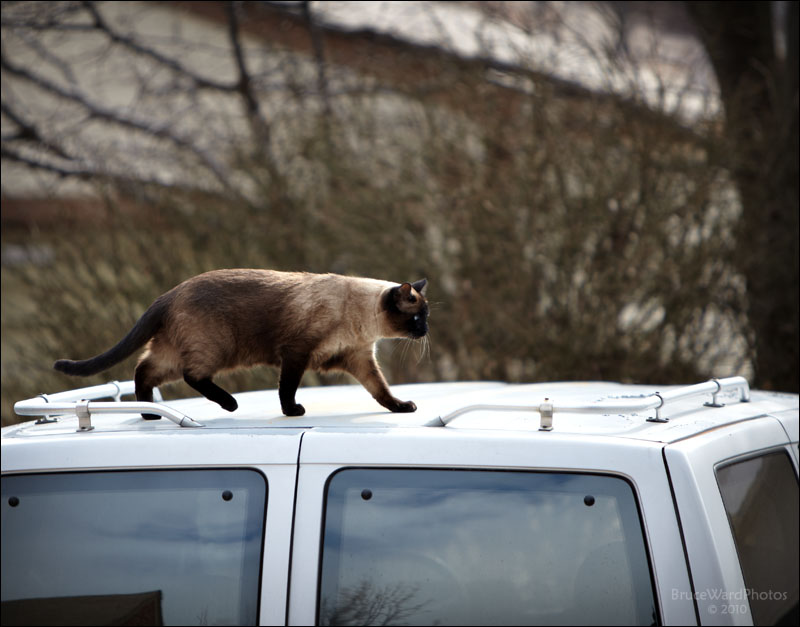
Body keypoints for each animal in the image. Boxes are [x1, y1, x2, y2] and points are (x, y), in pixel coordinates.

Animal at [52, 268, 428, 418]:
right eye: (417, 318)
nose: (425, 331)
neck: (361, 321)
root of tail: (170, 293)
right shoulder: (296, 353)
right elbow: (287, 388)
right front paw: (292, 412)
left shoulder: (360, 359)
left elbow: (381, 391)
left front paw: (401, 407)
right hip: (218, 348)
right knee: (191, 375)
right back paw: (229, 404)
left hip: (172, 354)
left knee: (143, 370)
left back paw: (148, 414)